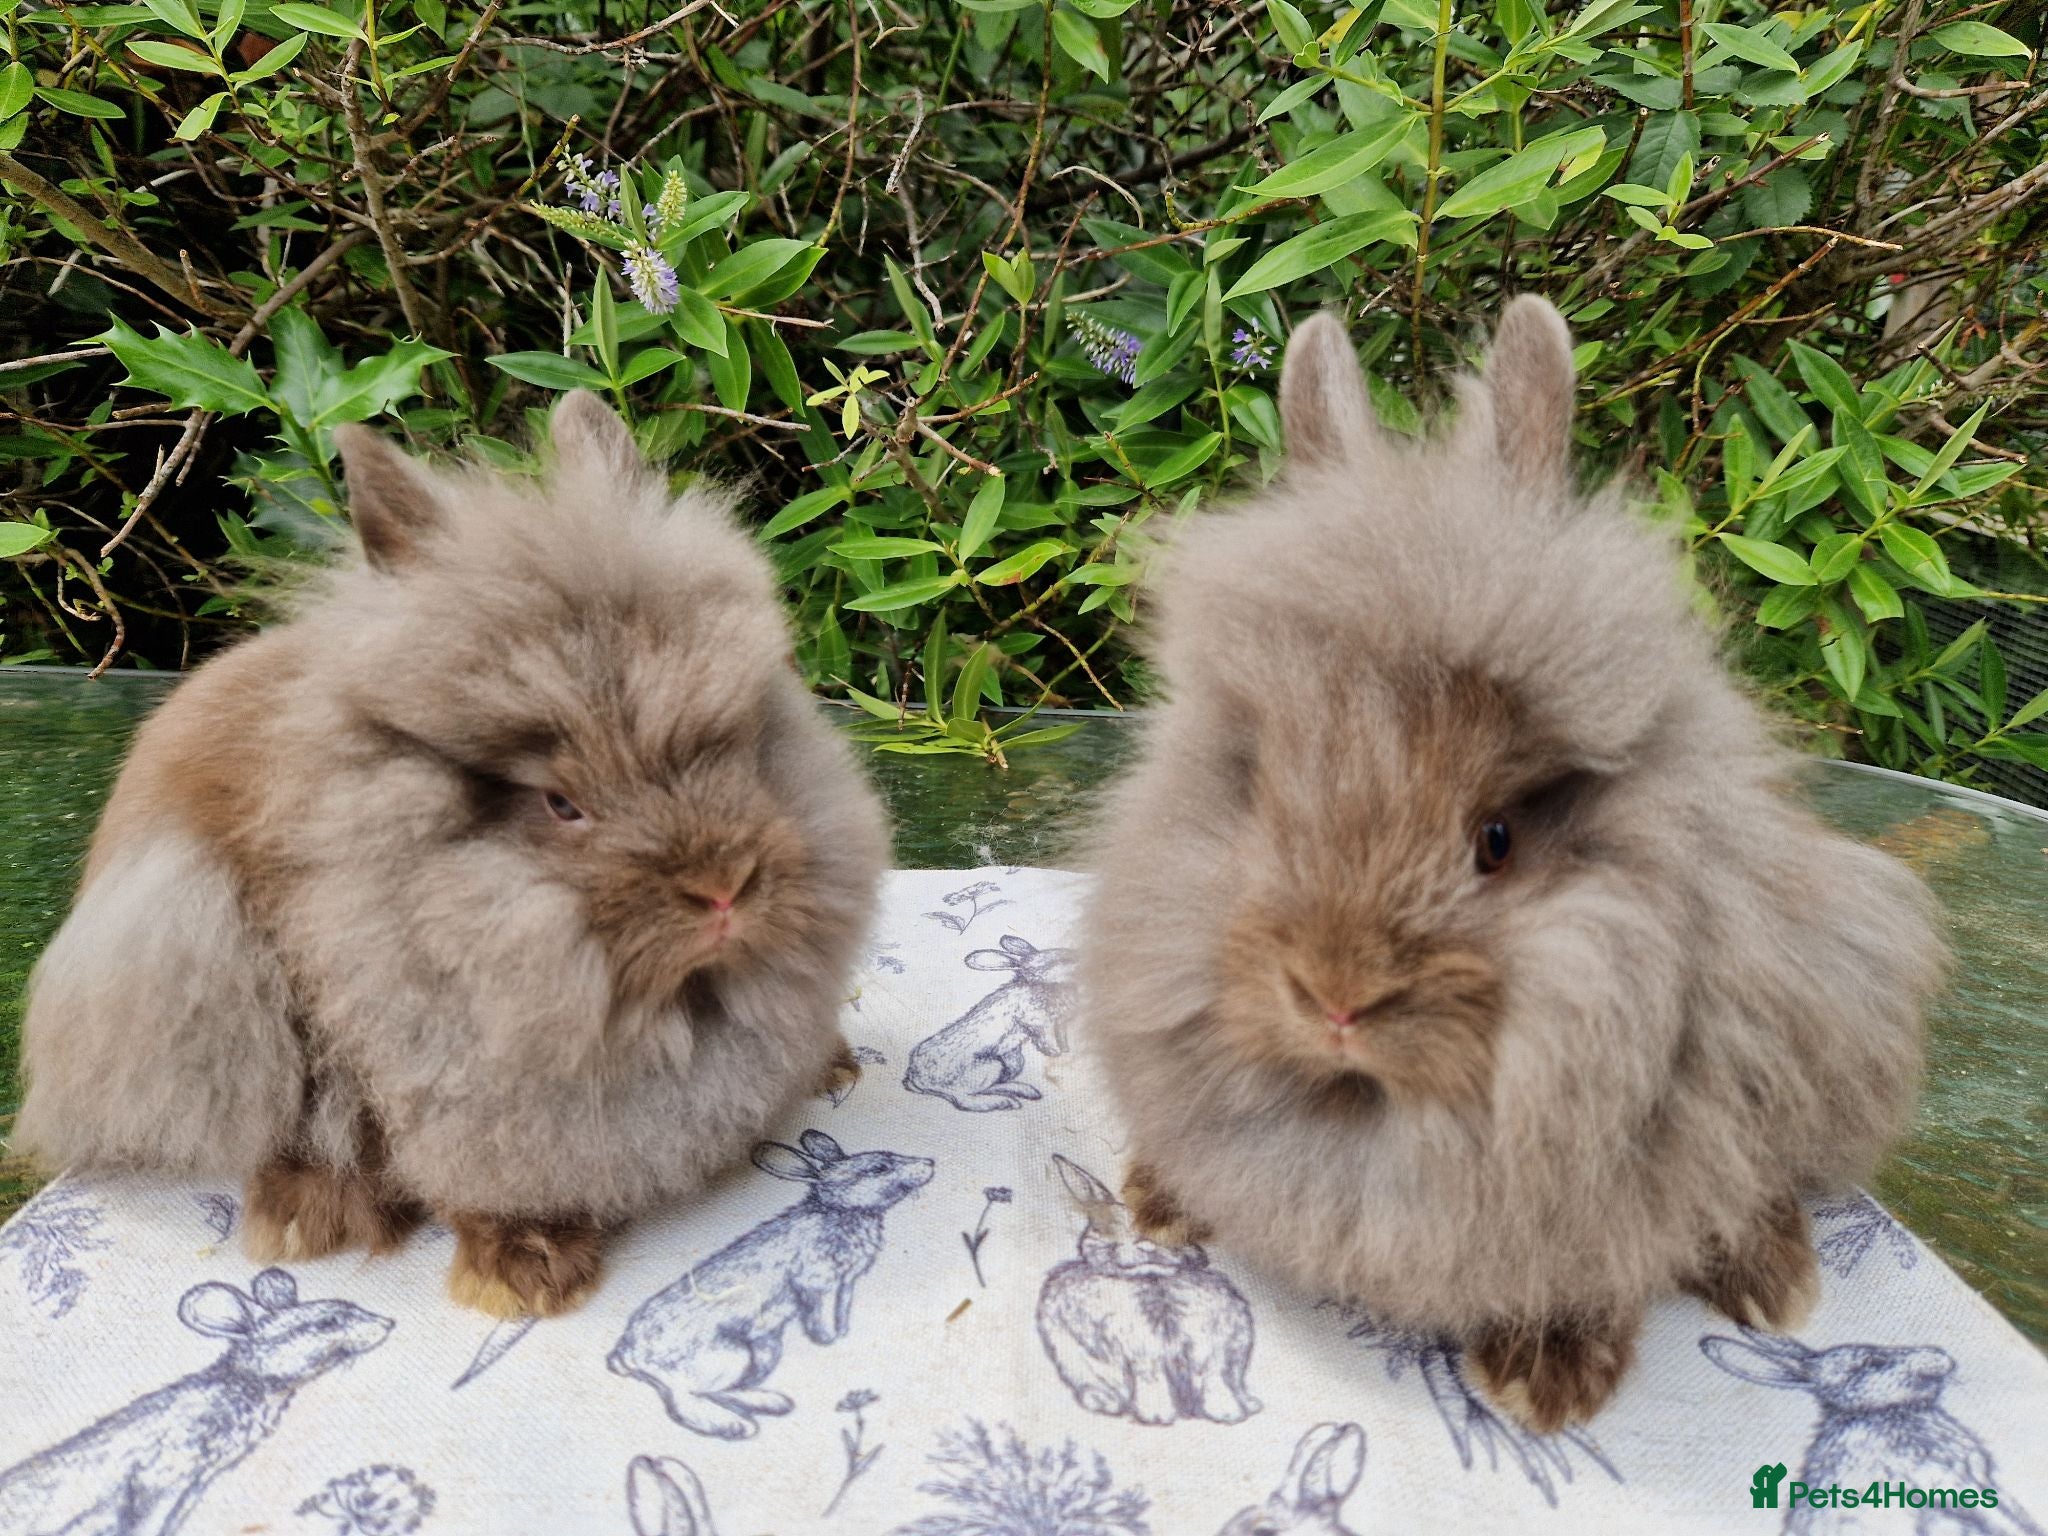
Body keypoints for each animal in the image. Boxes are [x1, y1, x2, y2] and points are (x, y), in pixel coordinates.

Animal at [608, 1129, 933, 1440]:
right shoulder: (812, 1281)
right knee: (686, 1399)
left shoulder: (847, 1281)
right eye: (879, 1168)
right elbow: (817, 1313)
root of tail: (628, 1353)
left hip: (763, 1351)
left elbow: (842, 1306)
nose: (929, 1163)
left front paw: (842, 1332)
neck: (842, 1212)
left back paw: (773, 1403)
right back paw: (736, 1427)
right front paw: (826, 1339)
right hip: (726, 1358)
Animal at [903, 935, 1077, 1111]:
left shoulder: (1059, 1023)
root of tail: (915, 1078)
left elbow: (1061, 1037)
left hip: (1012, 1061)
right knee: (963, 1098)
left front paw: (1066, 1049)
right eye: (1059, 961)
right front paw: (1056, 1053)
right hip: (989, 1067)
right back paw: (1005, 1101)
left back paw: (1026, 1091)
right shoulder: (1037, 1021)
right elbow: (1046, 1039)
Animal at [1035, 1154, 1258, 1427]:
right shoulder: (1142, 1352)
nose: (1147, 1243)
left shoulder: (1215, 1346)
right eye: (1104, 1227)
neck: (1154, 1280)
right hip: (1076, 1361)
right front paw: (1158, 1416)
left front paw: (1227, 1413)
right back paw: (1105, 1402)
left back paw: (1249, 1404)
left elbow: (1215, 1378)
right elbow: (1152, 1378)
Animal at [1077, 299, 1946, 1435]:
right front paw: (1164, 1203)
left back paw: (1774, 1283)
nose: (1335, 998)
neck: (1377, 1110)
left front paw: (1547, 1380)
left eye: (1494, 840)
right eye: (1262, 797)